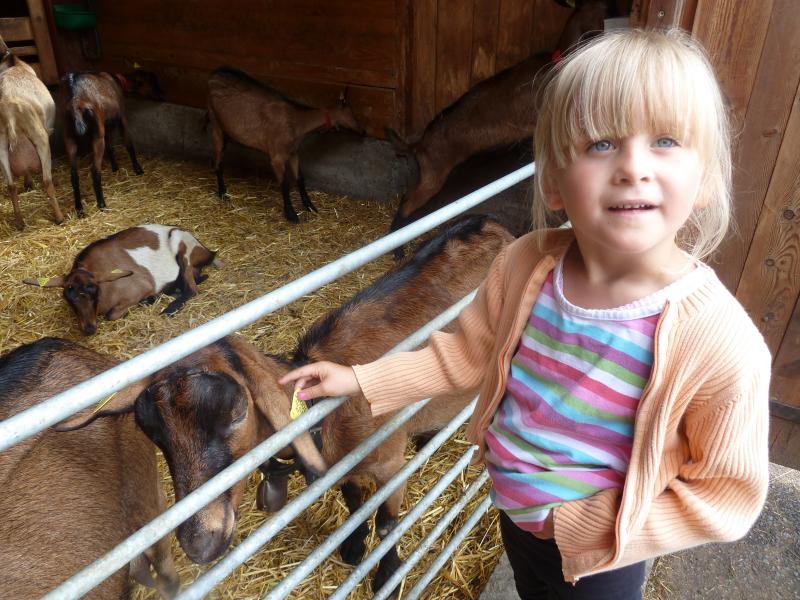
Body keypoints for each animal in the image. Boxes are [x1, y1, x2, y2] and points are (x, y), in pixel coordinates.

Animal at [0, 36, 61, 229]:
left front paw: (28, 184)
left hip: (1, 147)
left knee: (11, 185)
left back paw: (20, 222)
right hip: (40, 138)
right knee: (47, 180)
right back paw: (59, 217)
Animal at [23, 224, 221, 335]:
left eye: (93, 290)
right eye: (68, 298)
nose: (89, 330)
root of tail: (206, 250)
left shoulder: (142, 286)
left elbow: (111, 315)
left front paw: (149, 300)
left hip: (182, 247)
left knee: (192, 289)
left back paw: (168, 307)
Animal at [56, 214, 514, 596]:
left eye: (237, 412)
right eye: (153, 434)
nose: (200, 544)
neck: (326, 413)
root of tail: (492, 223)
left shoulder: (388, 464)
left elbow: (386, 524)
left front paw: (385, 574)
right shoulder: (342, 464)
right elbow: (352, 499)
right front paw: (352, 546)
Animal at [59, 71, 148, 216]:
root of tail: (75, 101)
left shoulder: (106, 126)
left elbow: (111, 147)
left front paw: (115, 167)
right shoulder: (122, 117)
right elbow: (128, 143)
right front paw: (138, 169)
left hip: (68, 137)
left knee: (74, 175)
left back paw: (79, 209)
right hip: (97, 135)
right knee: (95, 170)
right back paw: (101, 204)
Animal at [206, 66, 365, 223]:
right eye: (351, 114)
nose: (363, 131)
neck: (295, 122)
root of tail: (214, 73)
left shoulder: (293, 153)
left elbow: (300, 178)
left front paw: (310, 206)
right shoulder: (277, 157)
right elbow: (285, 184)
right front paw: (291, 214)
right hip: (215, 124)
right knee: (218, 160)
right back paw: (223, 193)